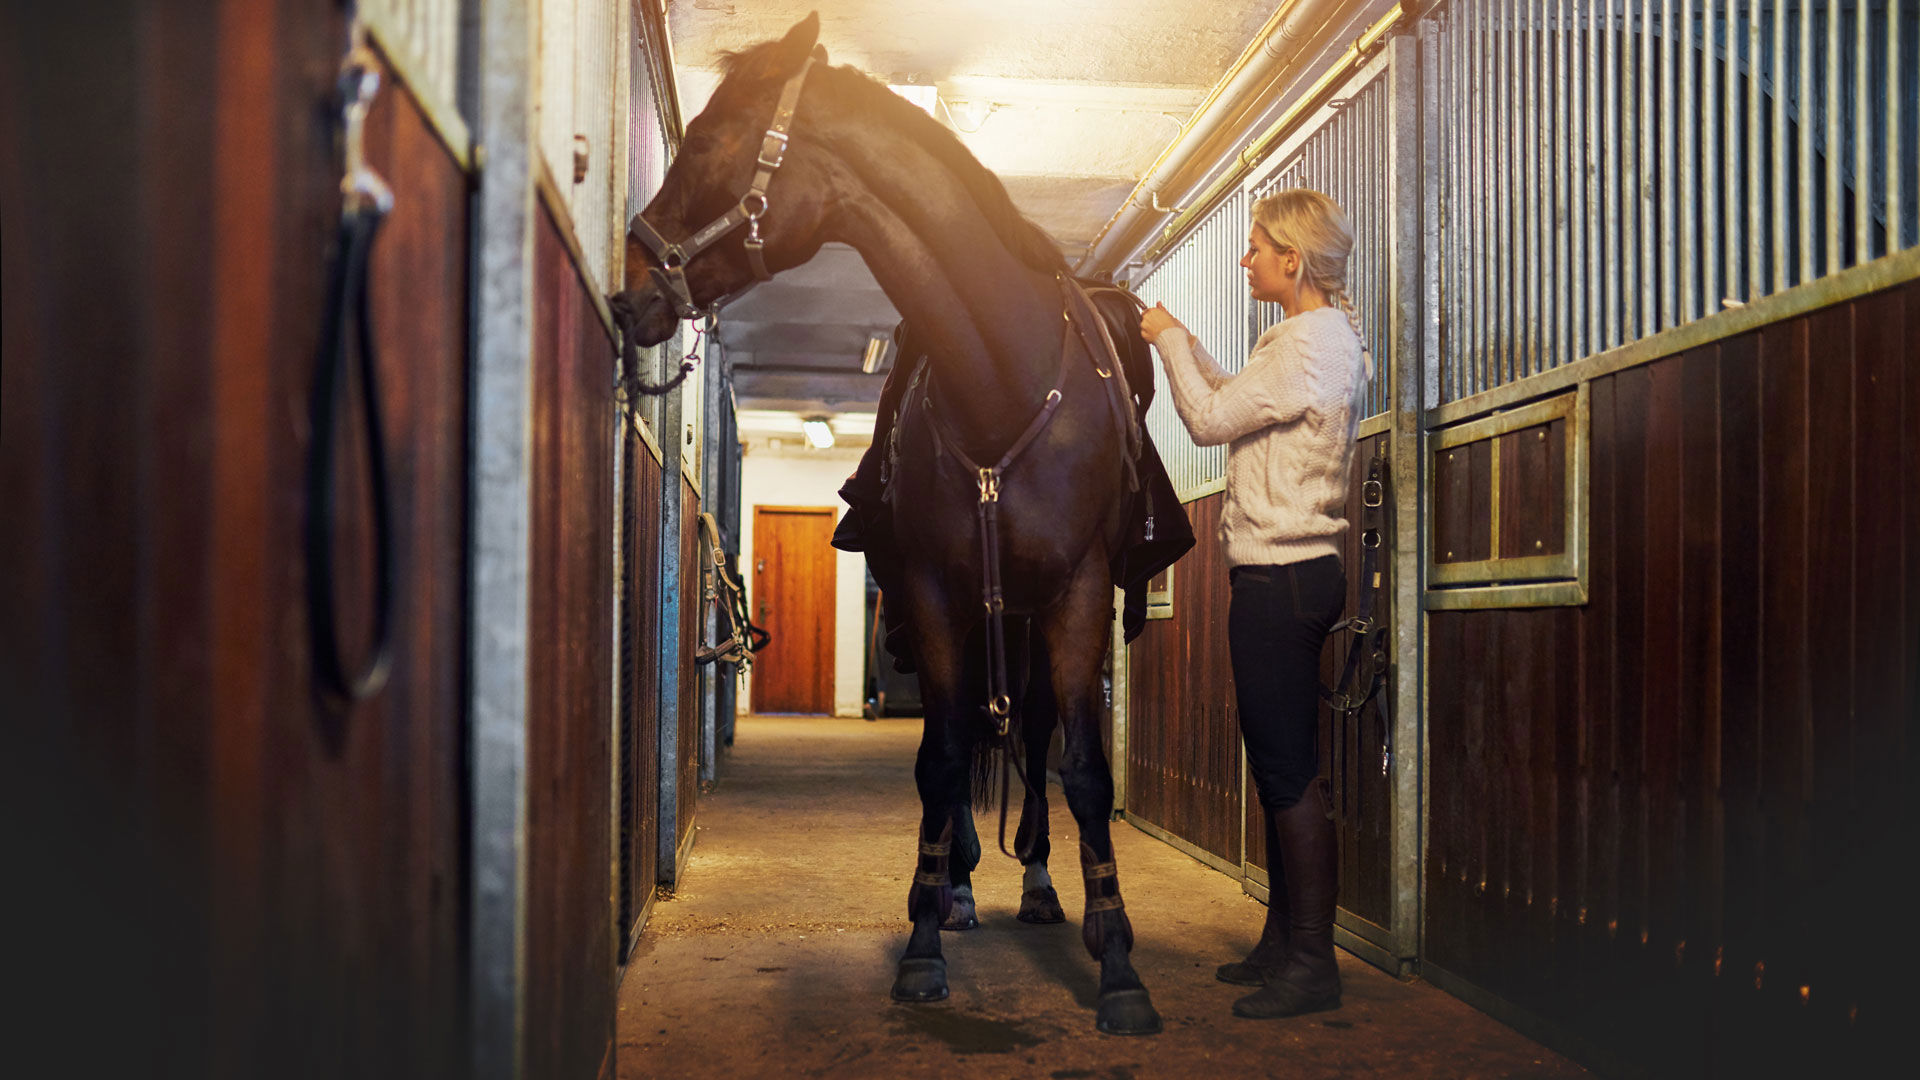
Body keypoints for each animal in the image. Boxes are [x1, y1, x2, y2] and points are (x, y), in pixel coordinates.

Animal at [610, 13, 1172, 1036]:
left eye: (708, 144)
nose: (630, 293)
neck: (1003, 380)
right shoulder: (935, 594)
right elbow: (941, 757)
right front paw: (922, 940)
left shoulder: (1074, 590)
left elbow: (1082, 767)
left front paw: (1118, 963)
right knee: (961, 737)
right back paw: (958, 887)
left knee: (1030, 734)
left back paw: (1037, 884)